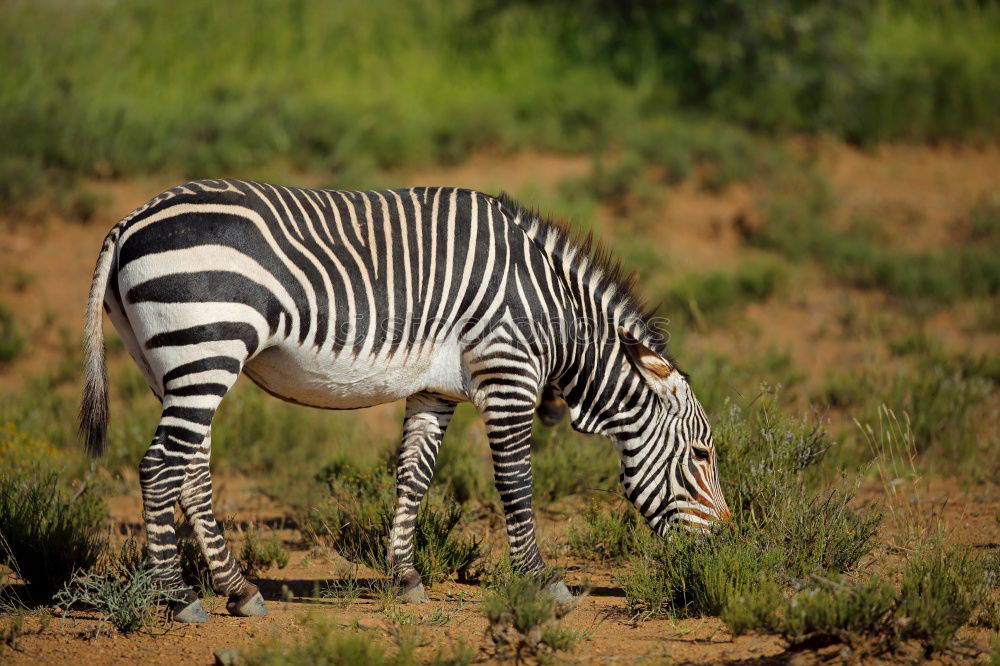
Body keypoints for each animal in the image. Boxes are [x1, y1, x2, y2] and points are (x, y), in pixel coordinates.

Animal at [78, 179, 732, 620]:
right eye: (702, 456)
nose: (728, 549)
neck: (551, 311)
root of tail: (130, 220)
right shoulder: (507, 373)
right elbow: (517, 481)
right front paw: (541, 580)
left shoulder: (434, 389)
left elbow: (413, 477)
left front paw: (406, 577)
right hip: (204, 349)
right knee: (158, 468)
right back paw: (177, 597)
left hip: (173, 365)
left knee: (189, 472)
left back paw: (237, 590)